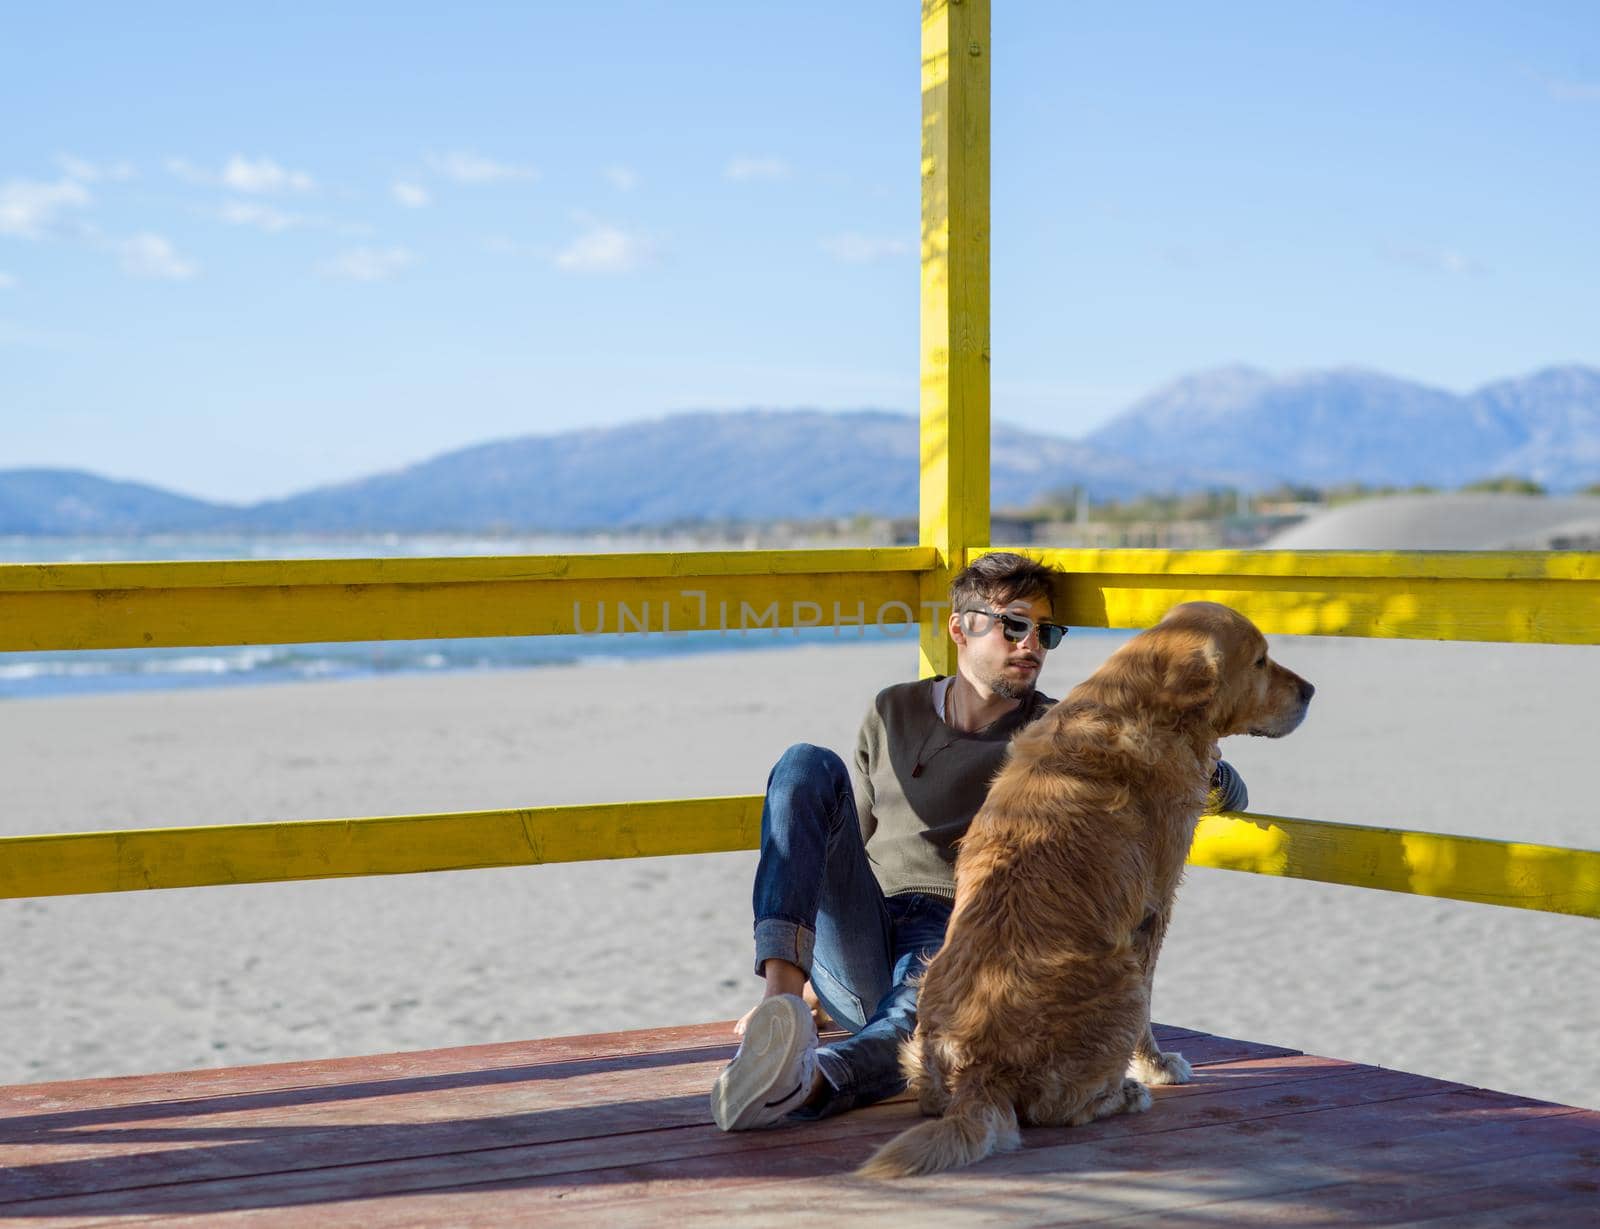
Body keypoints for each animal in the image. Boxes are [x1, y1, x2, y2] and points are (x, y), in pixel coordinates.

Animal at [864, 604, 1312, 1177]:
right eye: (1259, 660)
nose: (1311, 691)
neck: (1141, 707)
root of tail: (977, 1074)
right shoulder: (1153, 907)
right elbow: (1150, 1007)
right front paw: (1156, 1066)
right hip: (1120, 978)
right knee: (1061, 1106)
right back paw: (1123, 1094)